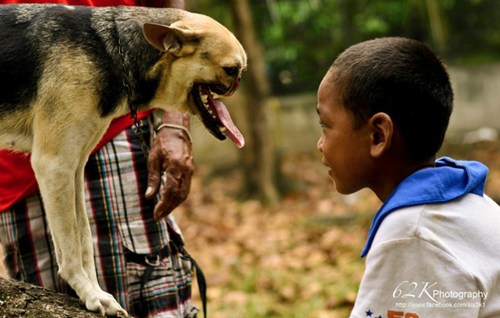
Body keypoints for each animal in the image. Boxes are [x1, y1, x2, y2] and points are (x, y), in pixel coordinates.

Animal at [0, 3, 247, 316]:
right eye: (231, 69)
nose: (238, 84)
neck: (112, 52)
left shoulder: (75, 168)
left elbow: (84, 240)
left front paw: (95, 291)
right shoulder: (53, 166)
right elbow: (70, 248)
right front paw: (90, 294)